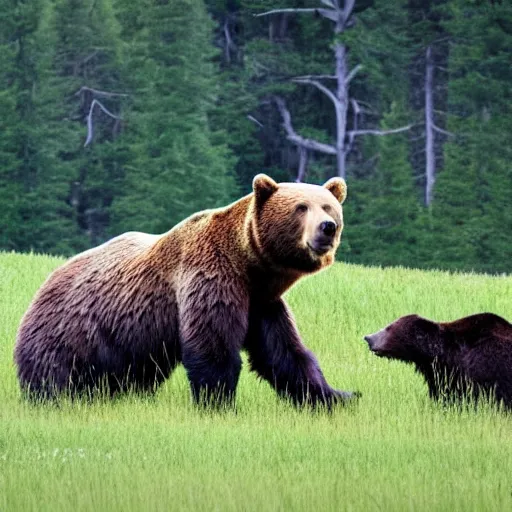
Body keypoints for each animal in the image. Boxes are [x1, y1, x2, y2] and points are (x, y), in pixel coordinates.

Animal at [14, 174, 356, 406]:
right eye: (301, 207)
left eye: (328, 206)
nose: (327, 227)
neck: (250, 268)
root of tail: (44, 284)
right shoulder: (210, 277)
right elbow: (213, 347)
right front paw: (218, 402)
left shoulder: (262, 302)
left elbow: (283, 352)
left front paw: (336, 395)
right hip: (71, 331)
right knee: (54, 375)